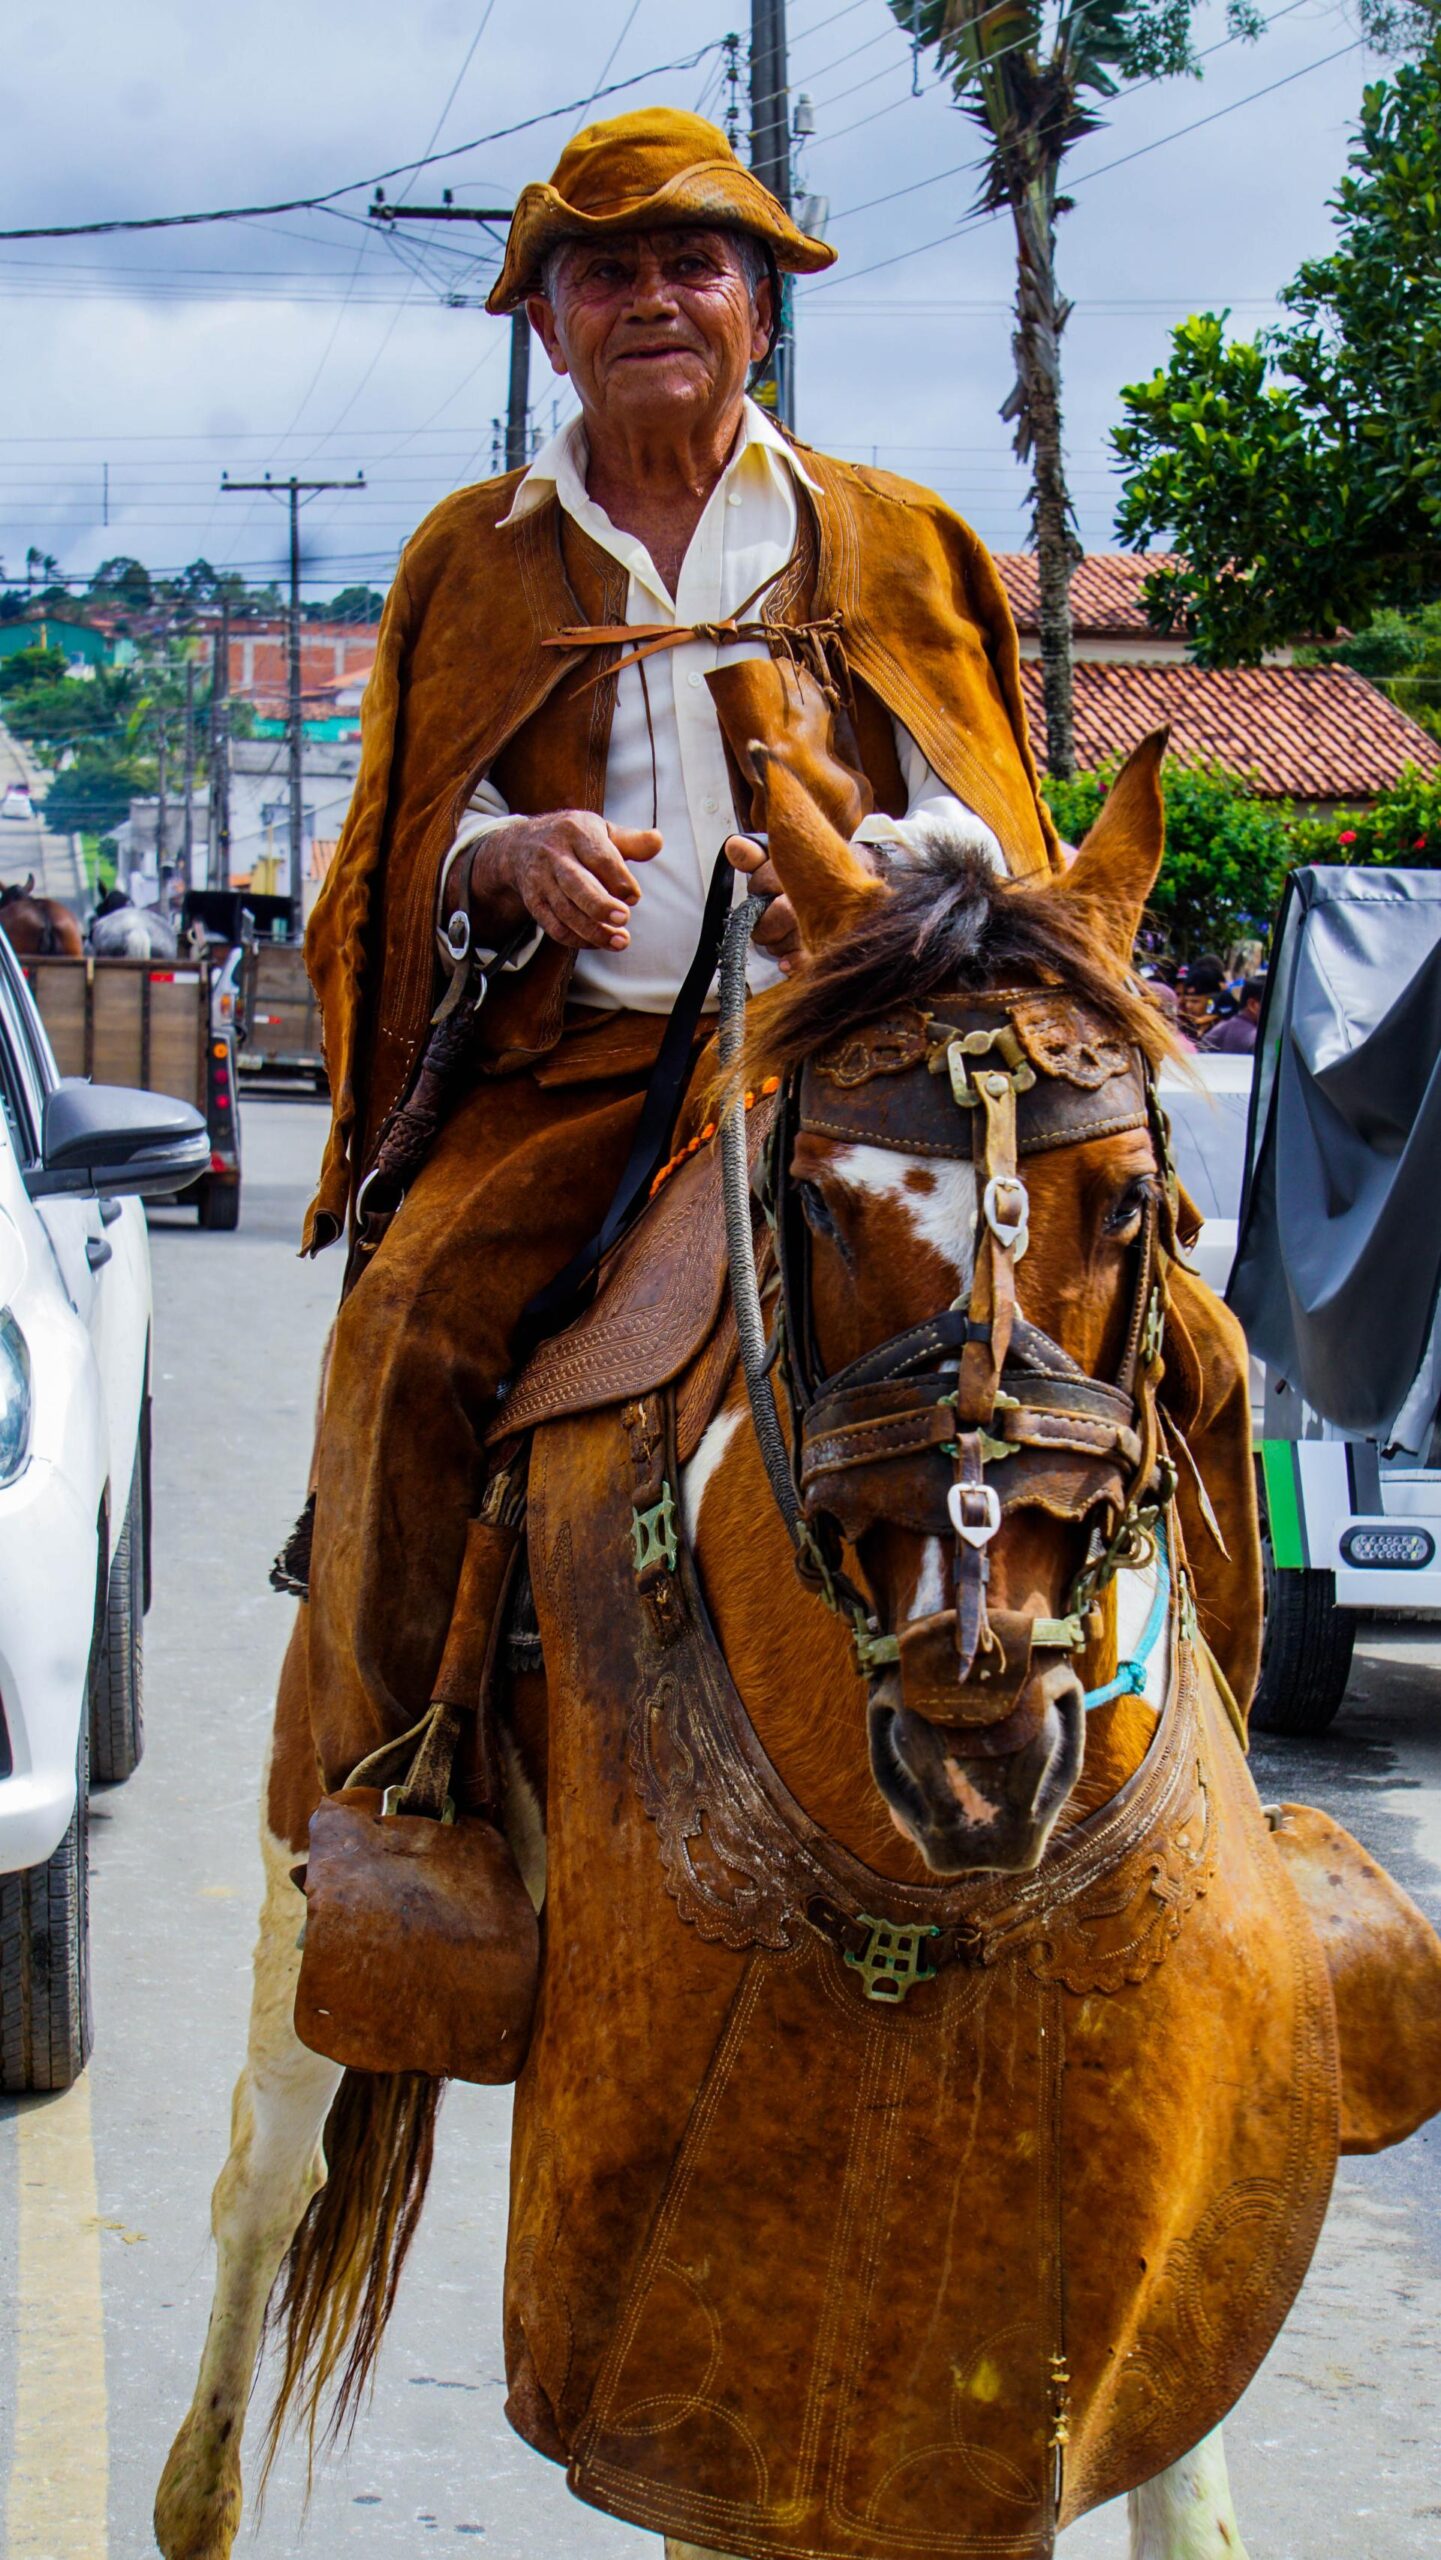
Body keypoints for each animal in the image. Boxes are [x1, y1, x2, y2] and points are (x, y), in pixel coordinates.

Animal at [154, 719, 1434, 2560]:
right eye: (819, 1212)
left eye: (1133, 1205)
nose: (978, 1742)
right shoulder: (700, 2302)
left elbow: (1160, 2463)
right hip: (310, 1807)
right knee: (272, 2165)